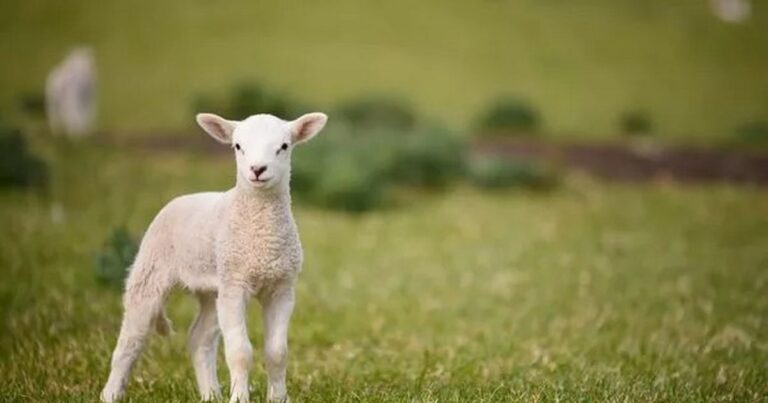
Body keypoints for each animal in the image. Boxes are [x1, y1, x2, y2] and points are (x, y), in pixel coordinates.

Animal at [100, 111, 328, 403]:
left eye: (284, 146)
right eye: (238, 146)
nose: (257, 170)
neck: (262, 238)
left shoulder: (281, 288)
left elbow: (277, 353)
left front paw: (278, 398)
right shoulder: (235, 284)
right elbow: (240, 352)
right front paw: (239, 398)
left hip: (212, 288)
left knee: (200, 338)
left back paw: (210, 394)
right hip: (152, 268)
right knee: (131, 339)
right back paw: (110, 394)